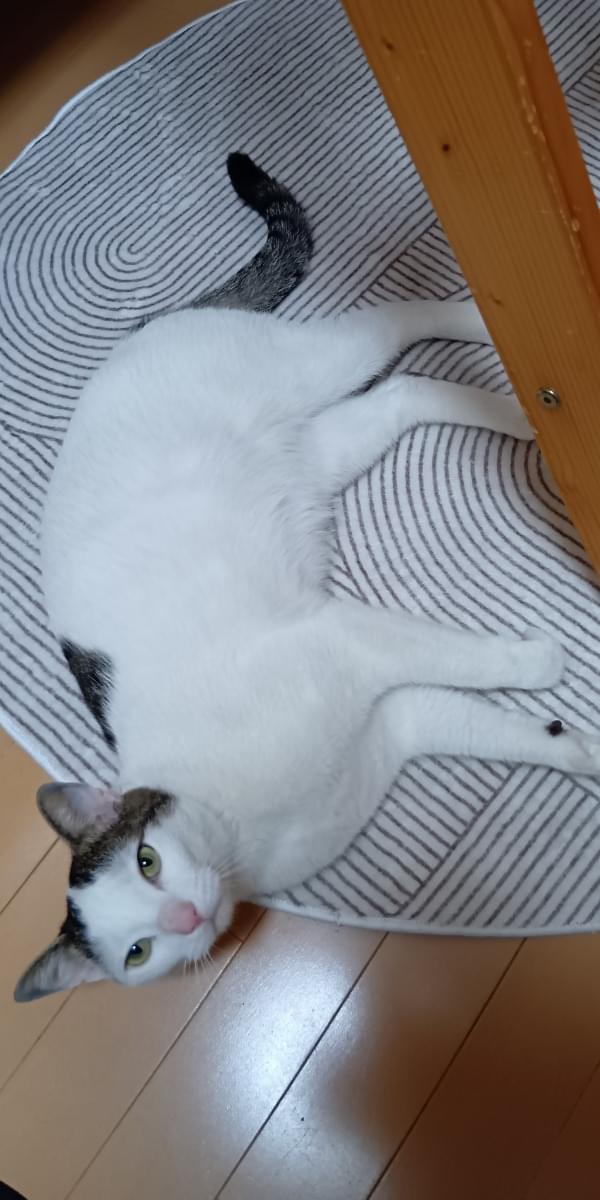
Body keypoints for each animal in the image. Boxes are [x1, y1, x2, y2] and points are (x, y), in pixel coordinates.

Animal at [15, 153, 600, 1003]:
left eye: (147, 861)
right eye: (138, 953)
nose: (188, 920)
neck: (241, 830)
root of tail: (138, 332)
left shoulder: (341, 640)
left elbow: (466, 656)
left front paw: (539, 661)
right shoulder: (397, 725)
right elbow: (496, 728)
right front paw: (578, 748)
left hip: (314, 367)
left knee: (396, 320)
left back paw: (489, 326)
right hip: (325, 450)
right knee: (403, 394)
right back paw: (520, 412)